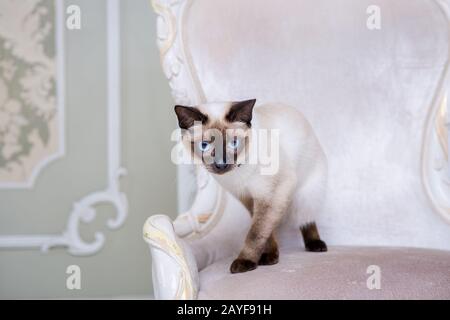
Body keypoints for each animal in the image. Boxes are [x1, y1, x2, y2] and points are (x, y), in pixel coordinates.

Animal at [173, 99, 326, 272]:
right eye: (204, 145)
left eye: (233, 143)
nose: (221, 164)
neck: (238, 174)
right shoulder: (248, 197)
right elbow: (265, 230)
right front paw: (269, 256)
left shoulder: (271, 194)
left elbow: (256, 233)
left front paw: (245, 262)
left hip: (303, 196)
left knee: (306, 218)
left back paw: (316, 245)